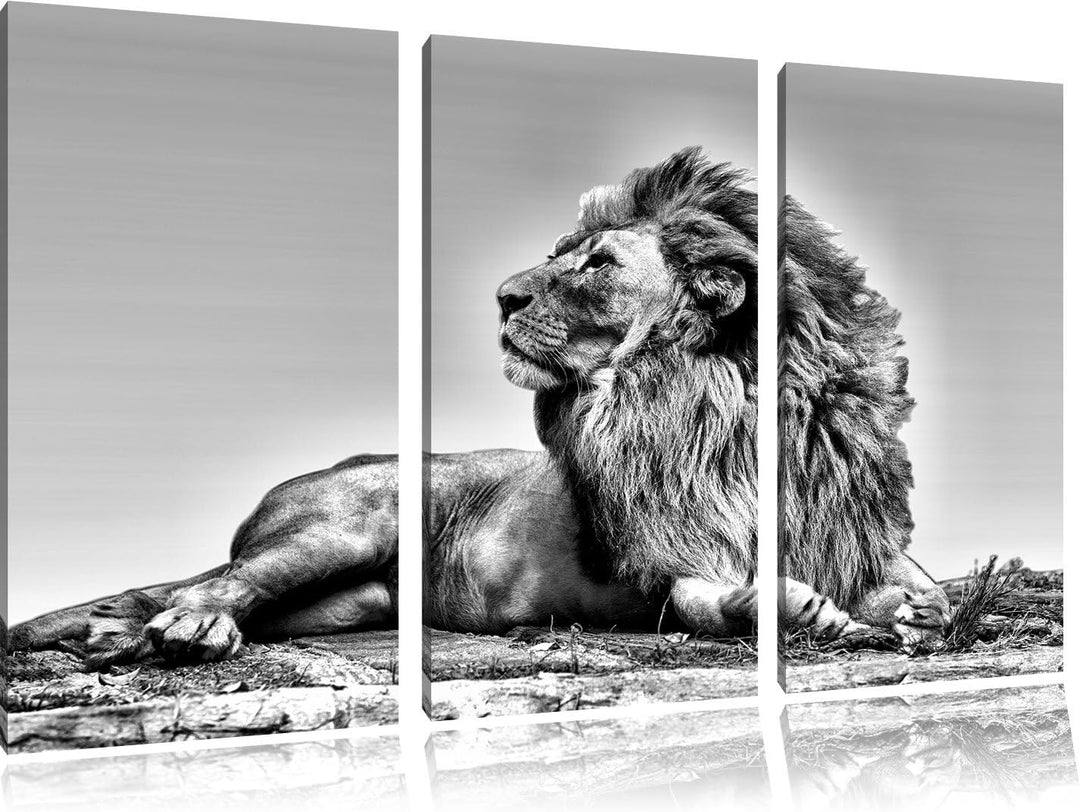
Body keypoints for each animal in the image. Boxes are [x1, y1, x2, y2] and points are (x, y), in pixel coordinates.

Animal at [9, 148, 946, 669]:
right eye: (559, 254)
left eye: (596, 264)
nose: (502, 296)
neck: (720, 400)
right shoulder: (662, 562)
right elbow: (705, 602)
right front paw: (794, 608)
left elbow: (914, 584)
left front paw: (911, 608)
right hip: (341, 525)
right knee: (215, 582)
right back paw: (186, 628)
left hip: (358, 600)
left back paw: (123, 634)